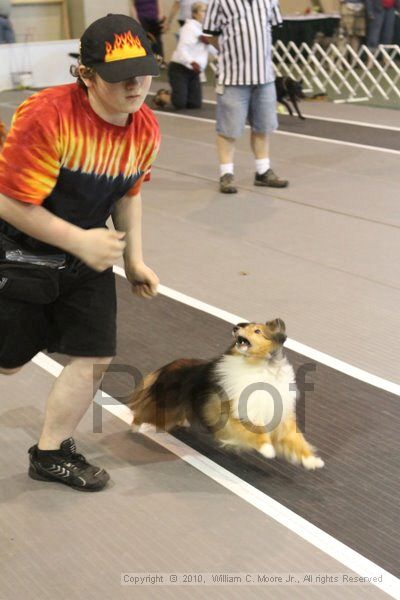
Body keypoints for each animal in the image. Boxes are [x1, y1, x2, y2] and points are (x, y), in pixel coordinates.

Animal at [128, 318, 324, 468]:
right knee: (144, 412)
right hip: (166, 407)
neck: (258, 365)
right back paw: (134, 427)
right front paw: (267, 449)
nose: (236, 327)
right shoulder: (235, 414)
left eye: (257, 331)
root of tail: (170, 365)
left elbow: (296, 441)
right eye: (246, 326)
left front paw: (312, 461)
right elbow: (256, 432)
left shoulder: (281, 417)